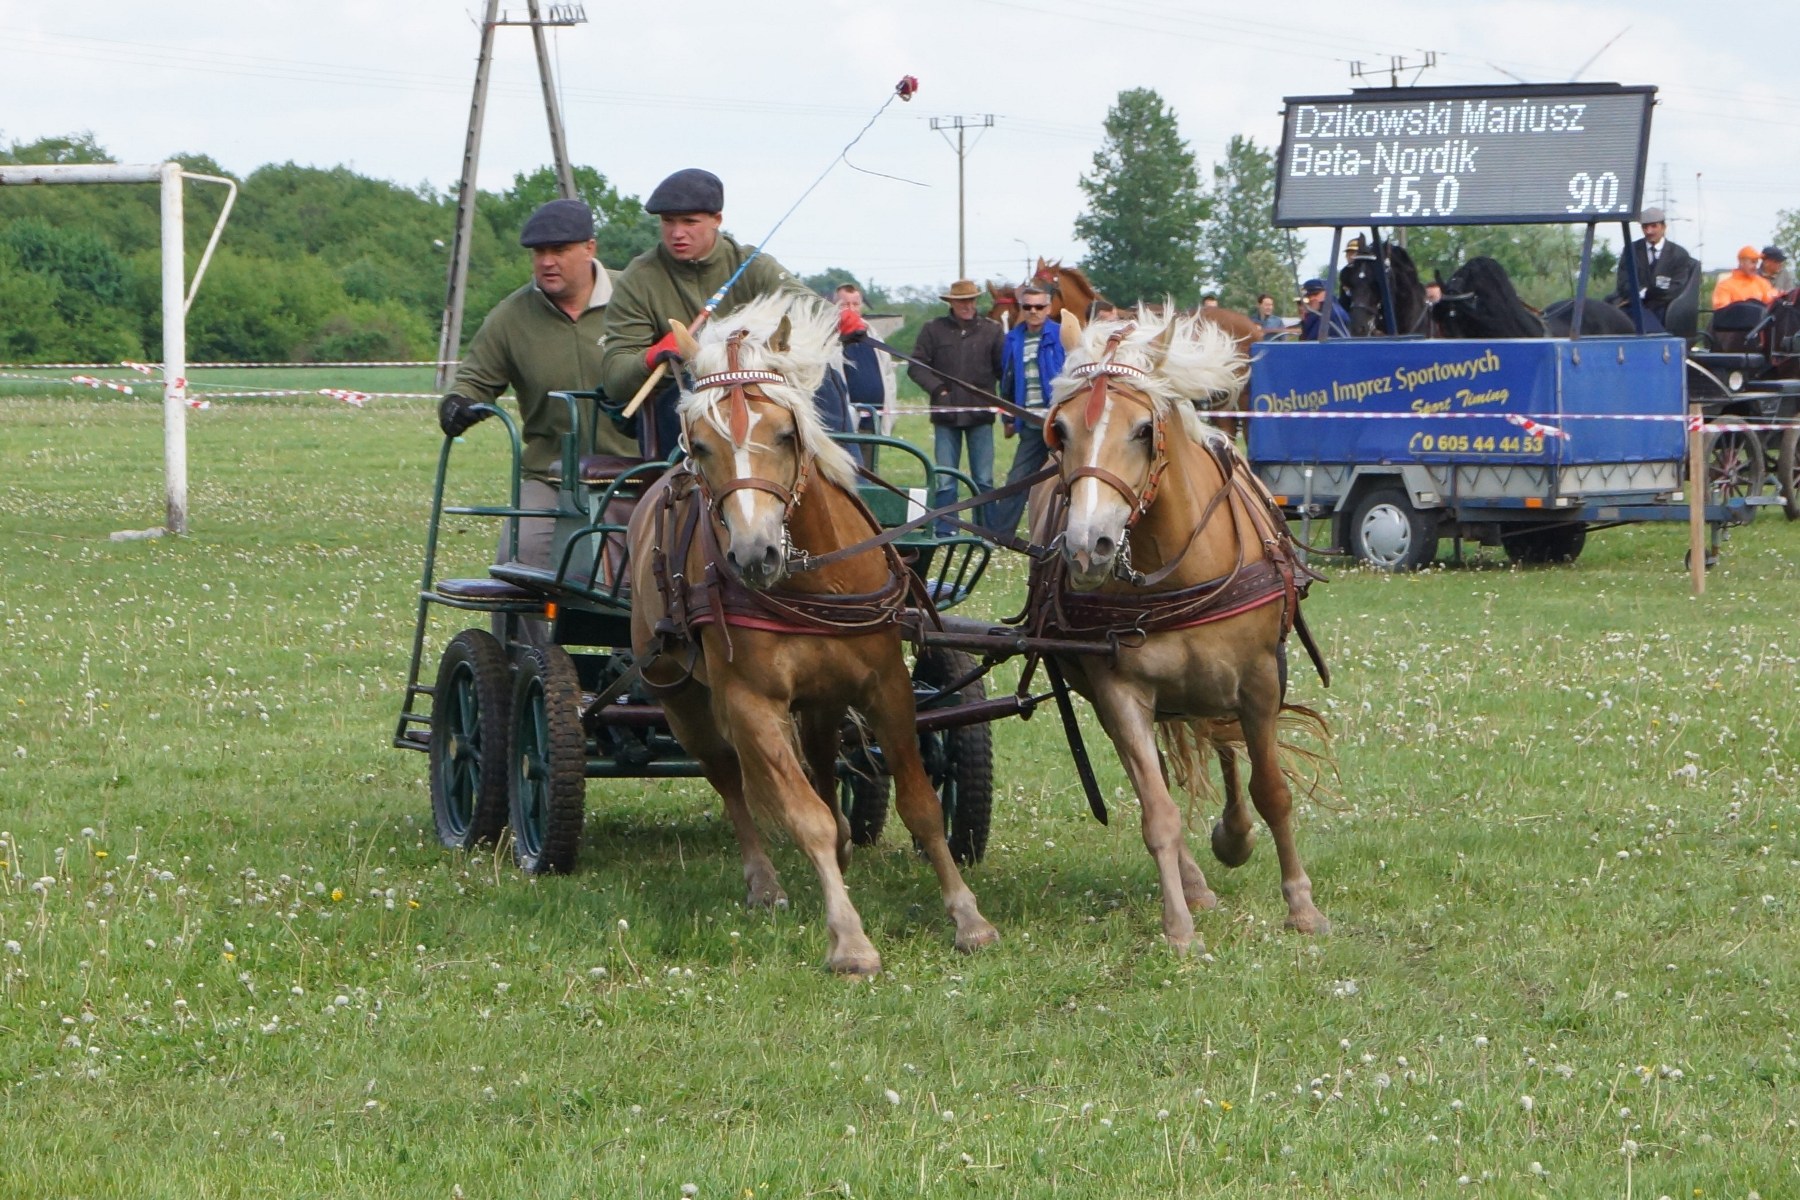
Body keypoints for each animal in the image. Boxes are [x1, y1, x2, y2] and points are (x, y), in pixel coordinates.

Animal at [626, 291, 1000, 978]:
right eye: (700, 444)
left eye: (784, 432)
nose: (755, 553)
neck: (815, 576)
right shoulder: (751, 703)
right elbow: (806, 818)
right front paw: (849, 939)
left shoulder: (886, 686)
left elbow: (921, 806)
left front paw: (968, 917)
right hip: (678, 693)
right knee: (729, 776)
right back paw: (764, 881)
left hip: (824, 697)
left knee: (827, 762)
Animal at [1022, 313, 1332, 957]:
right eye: (1058, 431)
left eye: (1144, 429)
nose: (1088, 547)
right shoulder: (1119, 694)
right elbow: (1157, 811)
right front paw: (1180, 926)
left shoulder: (1259, 681)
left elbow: (1272, 791)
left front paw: (1301, 906)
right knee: (1161, 778)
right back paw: (1197, 883)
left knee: (1225, 745)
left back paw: (1235, 839)